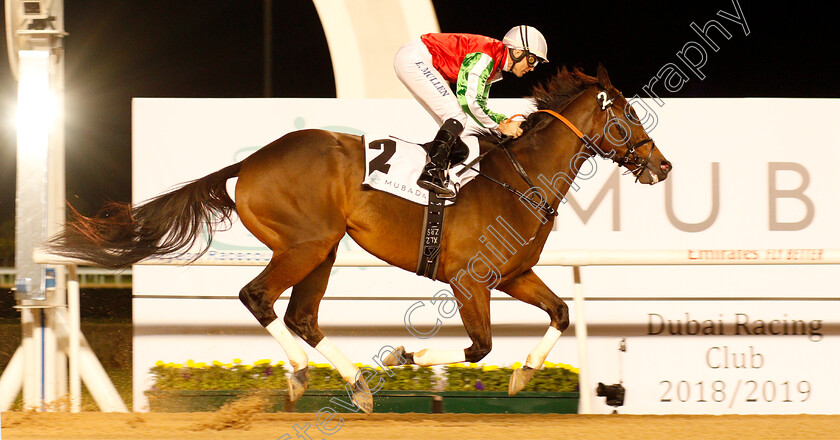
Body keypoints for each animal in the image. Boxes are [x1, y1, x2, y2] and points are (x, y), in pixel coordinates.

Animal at [49, 64, 672, 412]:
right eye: (627, 117)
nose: (662, 166)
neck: (518, 179)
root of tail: (249, 162)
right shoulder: (470, 281)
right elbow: (478, 347)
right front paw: (404, 354)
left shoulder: (514, 275)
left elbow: (561, 313)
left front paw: (523, 376)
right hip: (302, 244)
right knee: (258, 297)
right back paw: (302, 376)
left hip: (323, 249)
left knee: (301, 316)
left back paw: (355, 387)